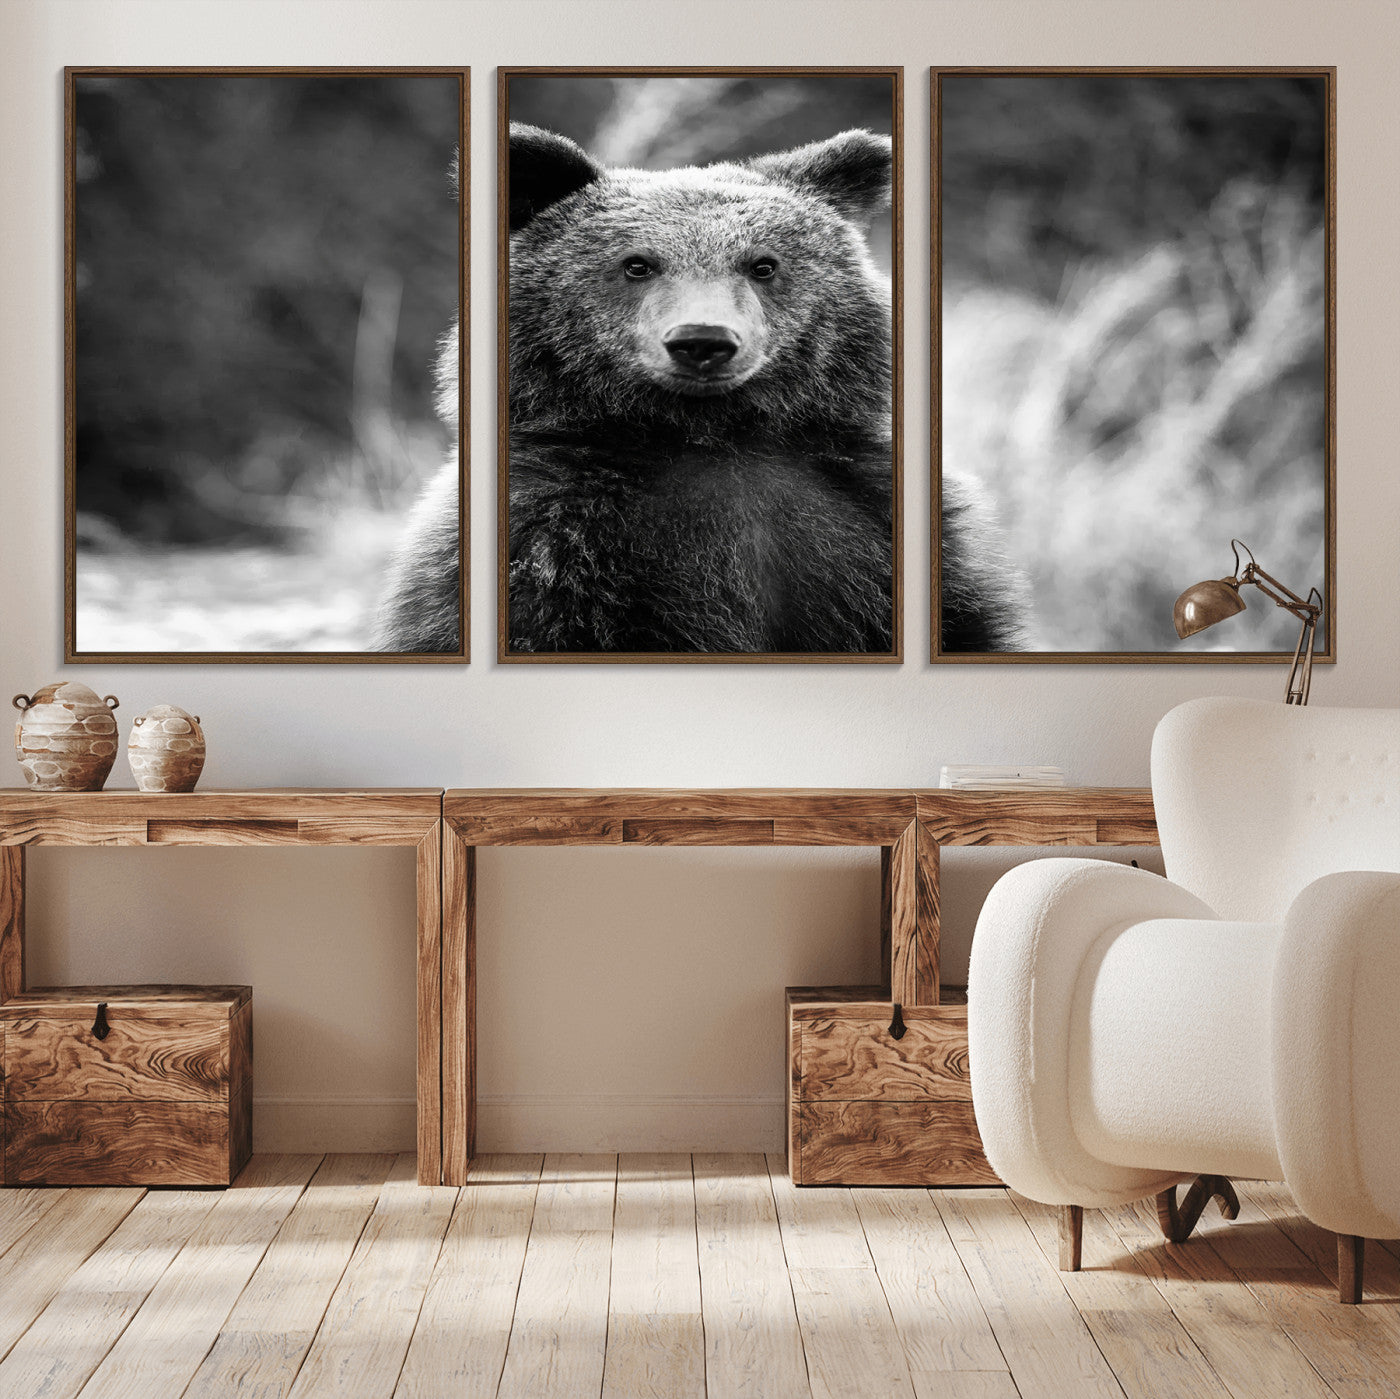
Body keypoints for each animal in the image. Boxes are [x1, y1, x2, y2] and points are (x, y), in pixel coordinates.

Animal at [375, 123, 1022, 654]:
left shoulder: (863, 520)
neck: (708, 436)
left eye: (763, 264)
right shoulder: (554, 542)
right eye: (637, 264)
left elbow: (964, 621)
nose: (702, 340)